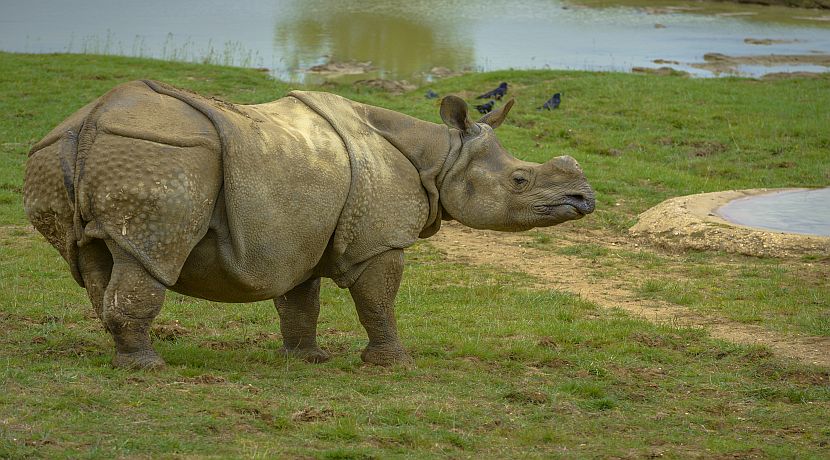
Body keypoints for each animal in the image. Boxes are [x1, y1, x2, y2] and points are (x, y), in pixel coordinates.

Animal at [23, 80, 595, 369]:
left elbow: (301, 300)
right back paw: (148, 368)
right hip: (162, 157)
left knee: (97, 259)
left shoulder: (296, 231)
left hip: (68, 153)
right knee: (149, 254)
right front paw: (393, 365)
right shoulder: (378, 239)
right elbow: (377, 300)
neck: (442, 156)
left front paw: (307, 359)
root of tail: (90, 120)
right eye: (520, 180)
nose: (584, 199)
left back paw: (126, 357)